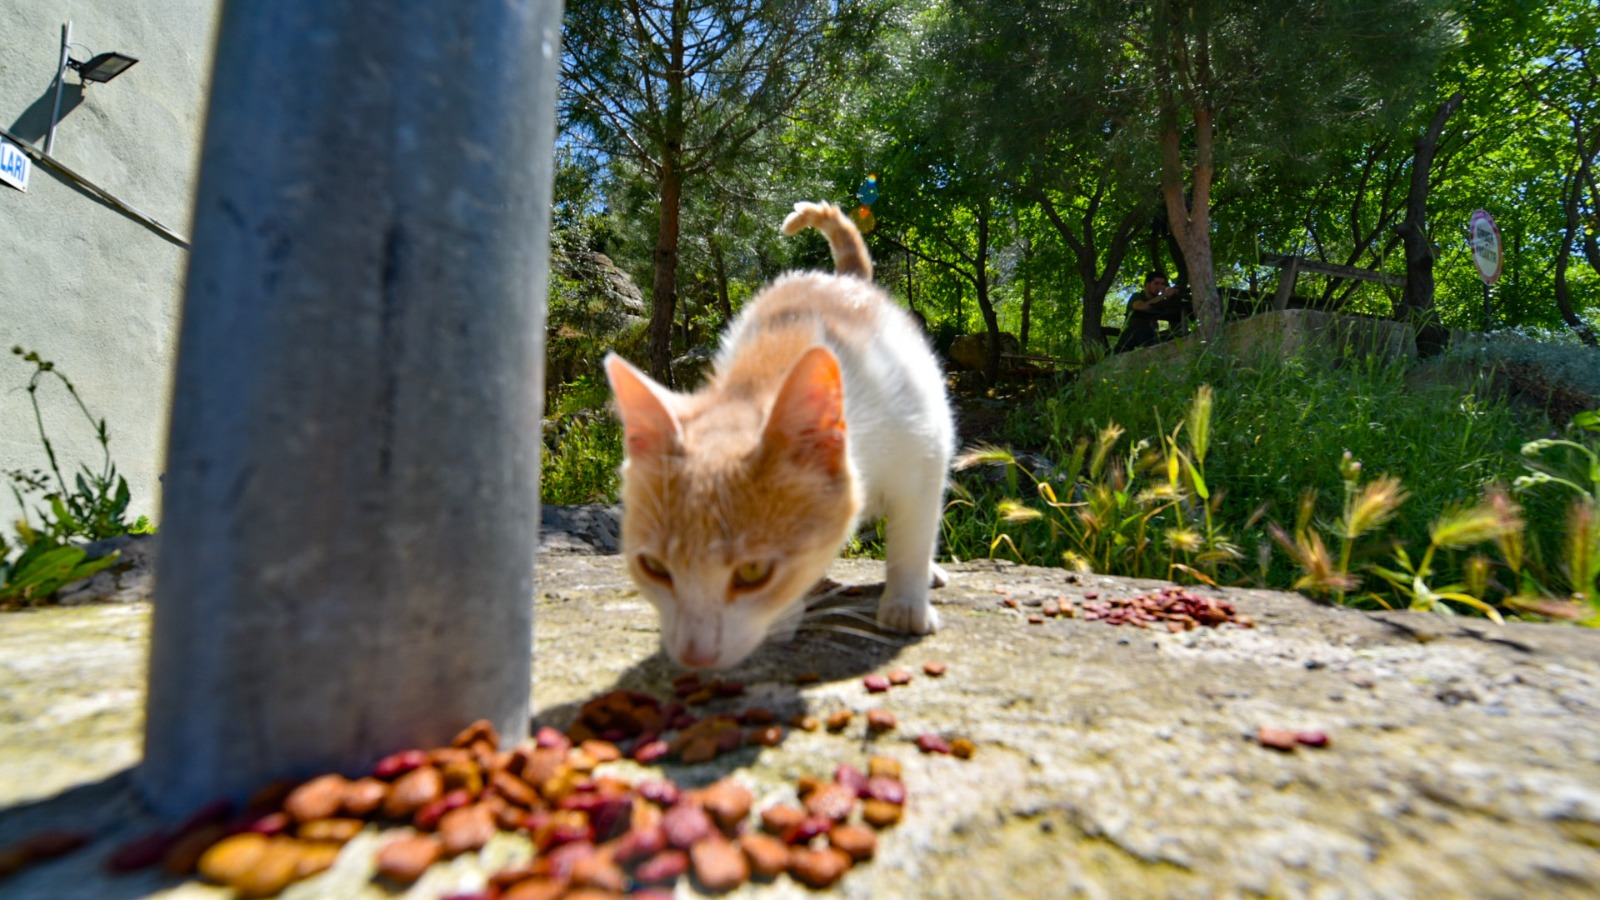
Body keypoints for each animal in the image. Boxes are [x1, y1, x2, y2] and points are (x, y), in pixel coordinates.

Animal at [601, 199, 947, 669]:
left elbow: (913, 534)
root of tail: (843, 279)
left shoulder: (925, 449)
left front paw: (906, 603)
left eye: (753, 573)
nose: (694, 656)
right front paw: (788, 613)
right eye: (654, 567)